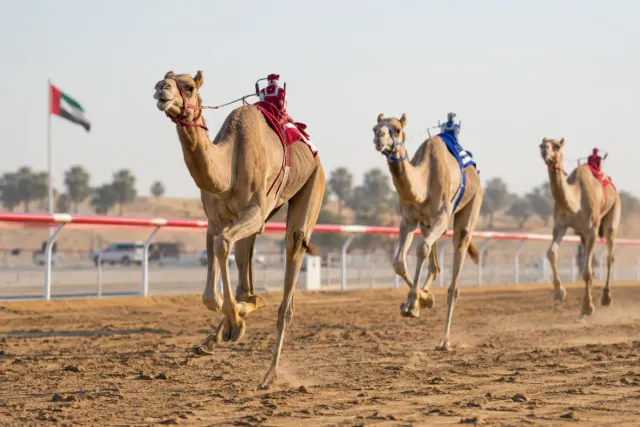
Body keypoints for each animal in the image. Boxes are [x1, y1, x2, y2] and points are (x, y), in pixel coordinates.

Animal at [153, 70, 325, 389]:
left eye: (189, 86)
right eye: (162, 79)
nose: (162, 90)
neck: (228, 166)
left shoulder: (255, 211)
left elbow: (223, 246)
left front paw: (237, 322)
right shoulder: (214, 219)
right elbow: (210, 291)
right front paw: (231, 320)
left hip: (312, 183)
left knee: (293, 253)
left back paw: (270, 375)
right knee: (245, 275)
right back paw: (223, 329)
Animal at [372, 113, 483, 350]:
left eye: (396, 129)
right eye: (375, 128)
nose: (379, 138)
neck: (423, 183)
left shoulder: (441, 216)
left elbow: (421, 249)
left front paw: (415, 302)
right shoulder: (408, 219)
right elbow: (398, 262)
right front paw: (417, 301)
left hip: (472, 205)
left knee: (455, 275)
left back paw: (444, 340)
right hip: (426, 224)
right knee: (435, 264)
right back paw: (425, 297)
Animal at [539, 137, 621, 316]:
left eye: (557, 146)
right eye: (541, 144)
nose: (544, 150)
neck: (575, 202)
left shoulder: (592, 230)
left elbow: (587, 271)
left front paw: (588, 307)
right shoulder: (560, 225)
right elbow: (551, 253)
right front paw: (559, 292)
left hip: (614, 211)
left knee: (610, 255)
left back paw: (606, 297)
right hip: (582, 234)